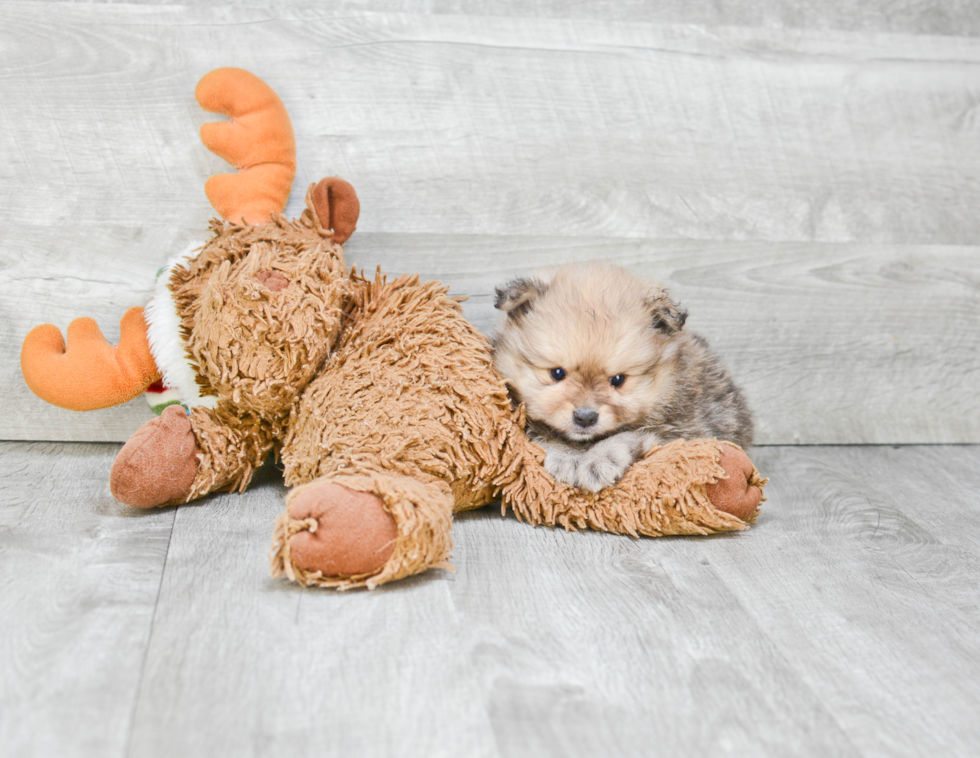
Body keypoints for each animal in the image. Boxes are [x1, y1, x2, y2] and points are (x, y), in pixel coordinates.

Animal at [494, 264, 756, 496]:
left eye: (618, 380)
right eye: (557, 373)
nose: (585, 417)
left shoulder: (686, 430)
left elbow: (629, 435)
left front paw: (598, 459)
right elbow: (543, 433)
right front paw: (566, 457)